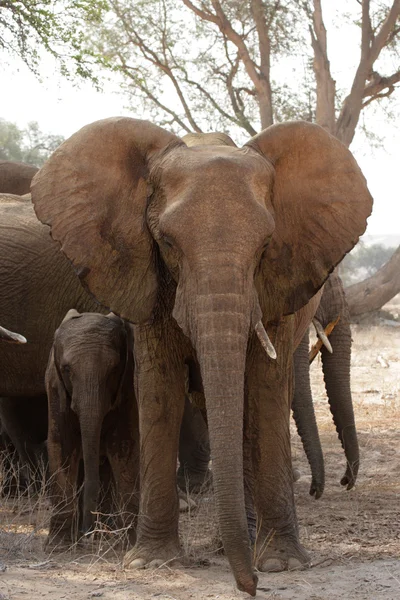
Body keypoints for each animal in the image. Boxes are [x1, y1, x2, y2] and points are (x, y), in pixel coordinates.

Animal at [44, 310, 139, 548]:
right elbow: (63, 446)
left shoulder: (127, 387)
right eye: (67, 369)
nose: (88, 534)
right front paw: (59, 545)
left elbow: (124, 446)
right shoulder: (55, 386)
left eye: (114, 369)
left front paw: (130, 543)